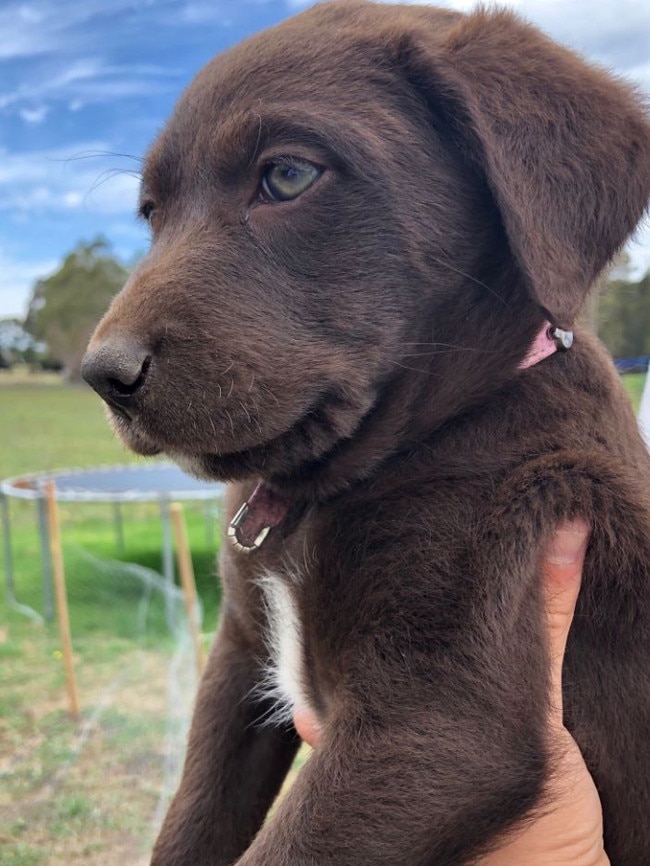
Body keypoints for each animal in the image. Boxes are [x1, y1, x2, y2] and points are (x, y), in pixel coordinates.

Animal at [81, 1, 648, 864]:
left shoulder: (438, 716)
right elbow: (195, 817)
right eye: (152, 215)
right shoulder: (240, 654)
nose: (102, 374)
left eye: (287, 176)